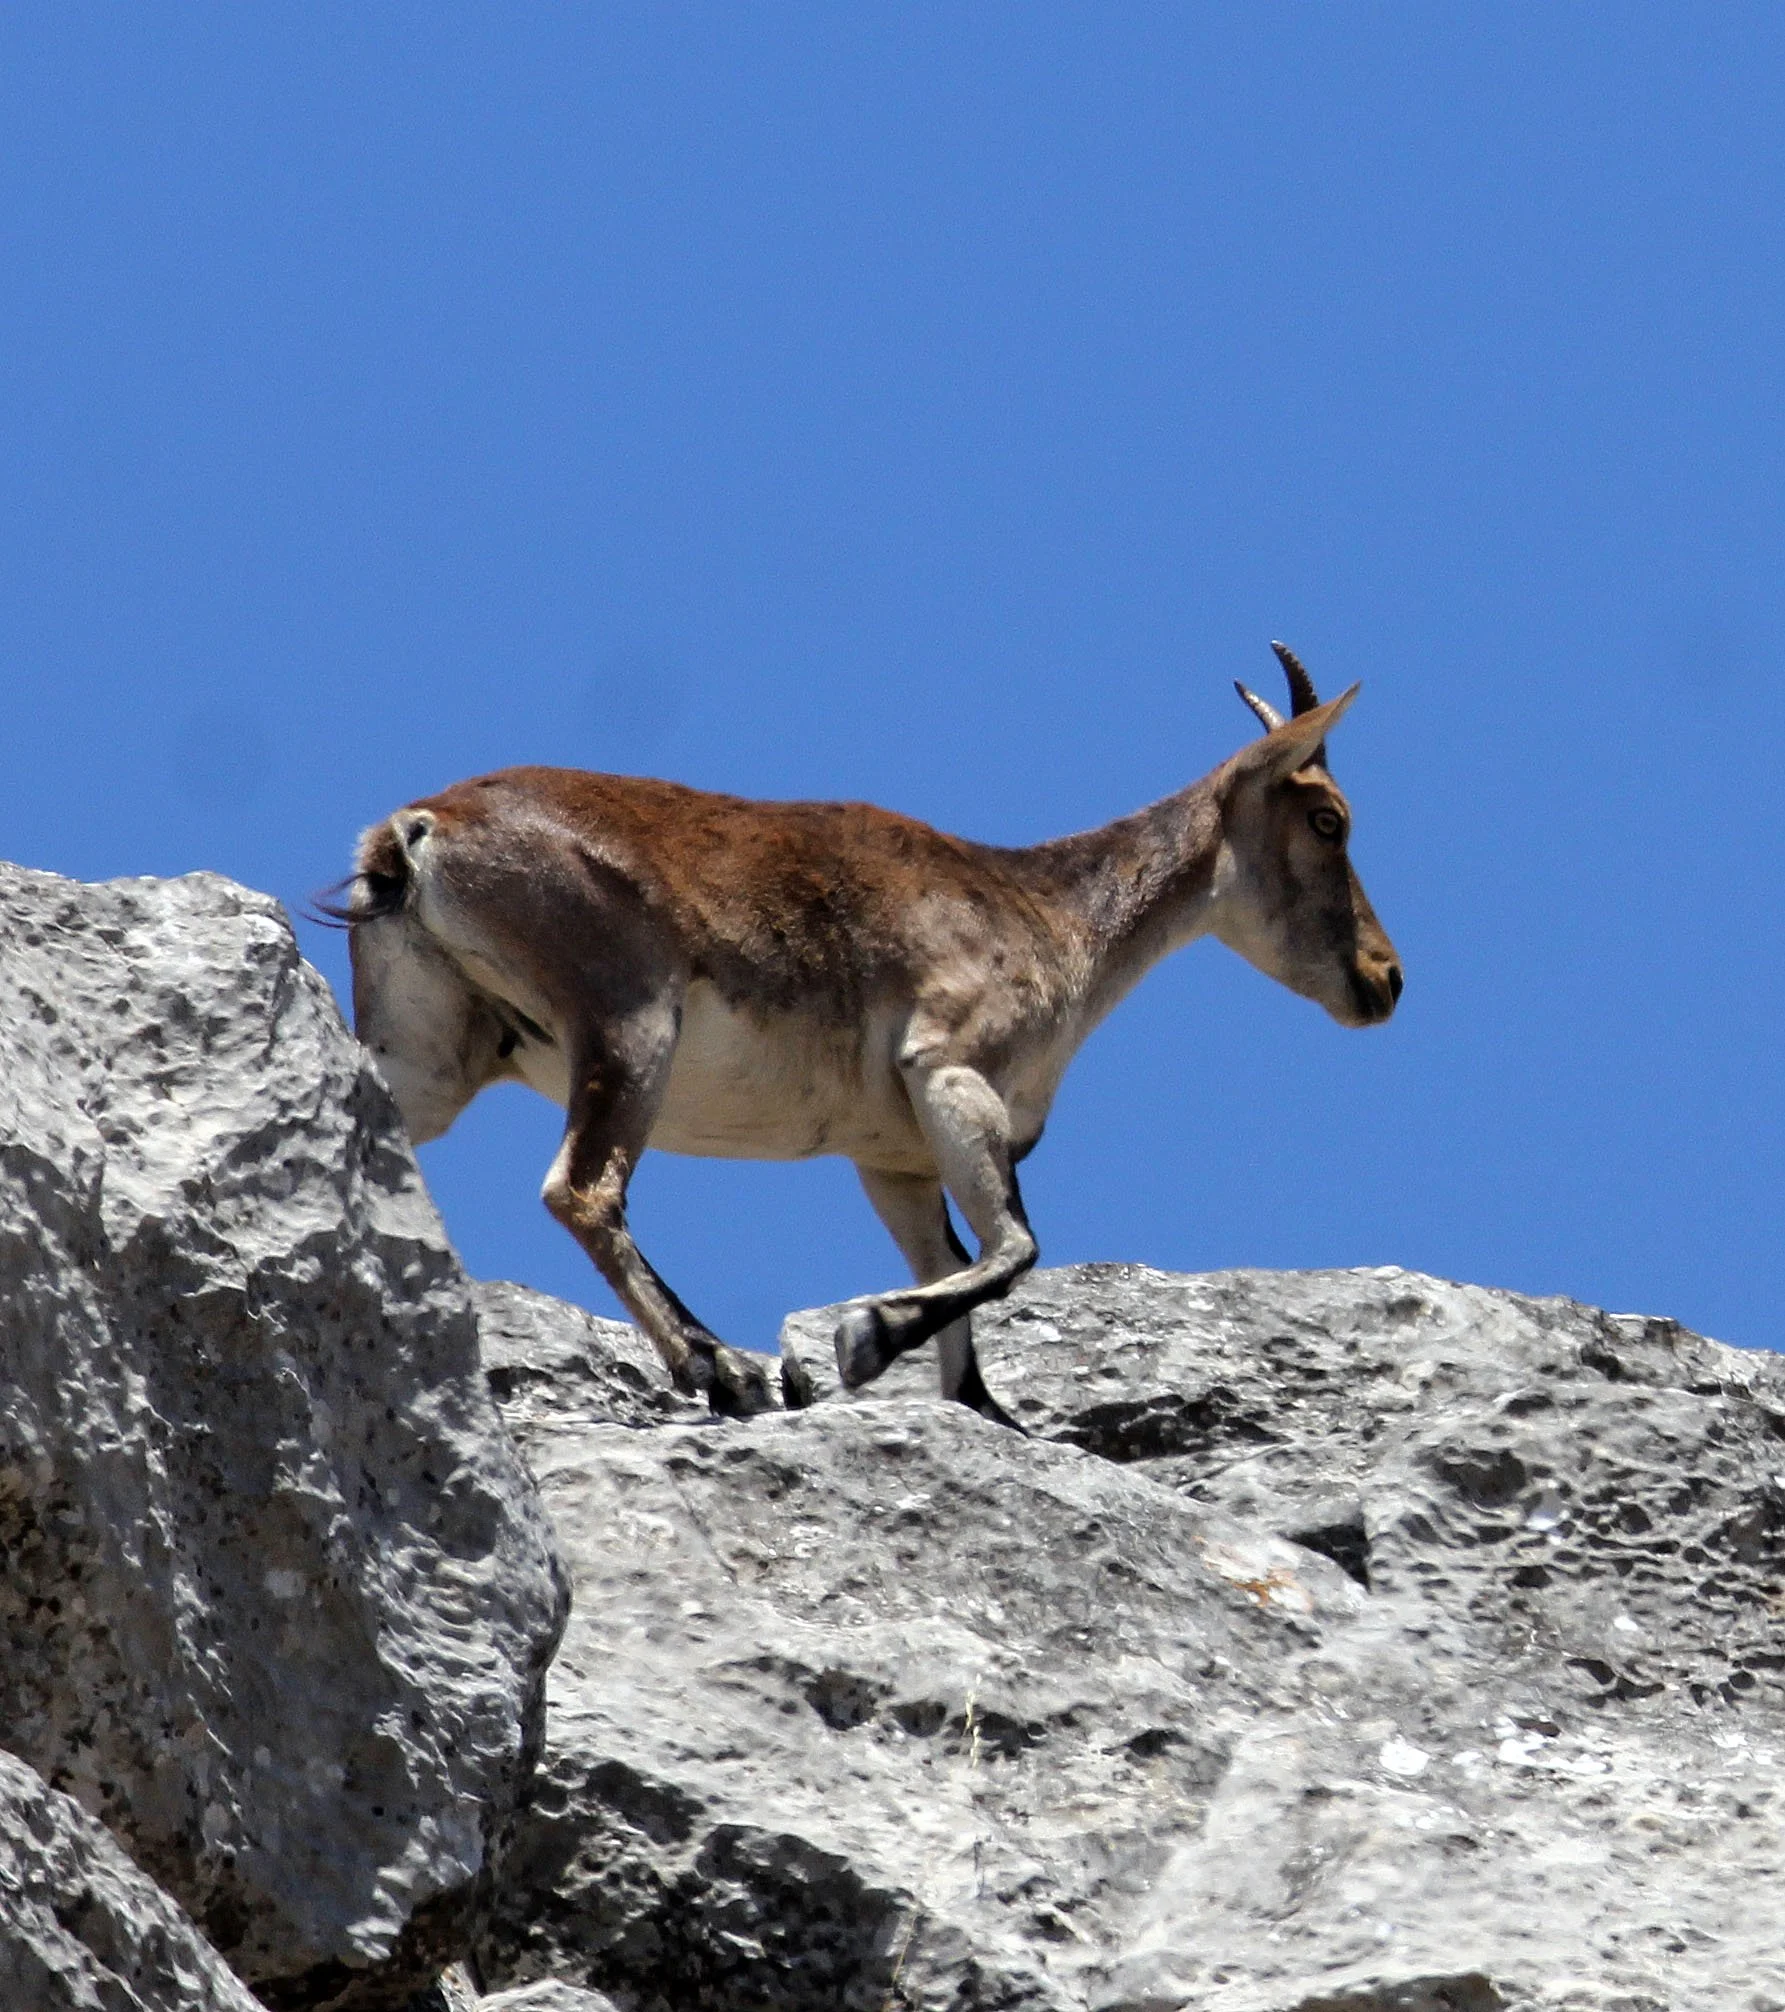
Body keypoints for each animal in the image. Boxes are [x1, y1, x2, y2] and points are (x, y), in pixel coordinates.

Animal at [337, 644, 1401, 1421]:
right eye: (1328, 818)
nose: (1384, 978)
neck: (1047, 915)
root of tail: (416, 832)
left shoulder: (892, 1159)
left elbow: (955, 1289)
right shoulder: (949, 1071)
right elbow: (1014, 1249)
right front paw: (864, 1336)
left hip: (430, 1055)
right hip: (629, 1022)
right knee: (584, 1190)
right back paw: (718, 1367)